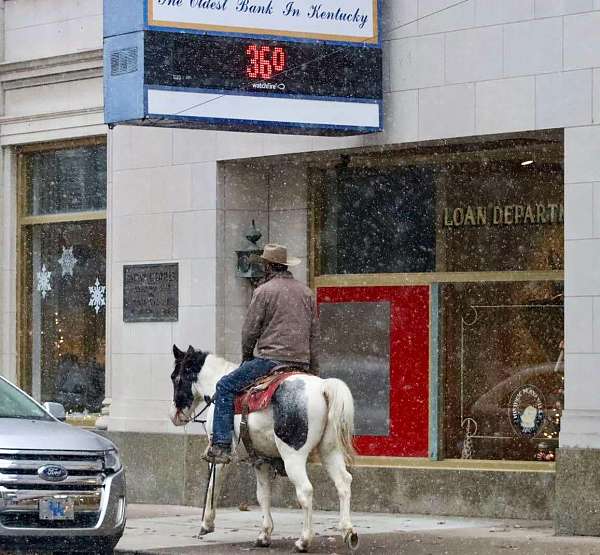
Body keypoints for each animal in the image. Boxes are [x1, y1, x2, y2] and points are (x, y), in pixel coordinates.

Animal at [168, 346, 356, 552]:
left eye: (175, 377)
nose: (174, 416)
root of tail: (323, 388)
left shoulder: (219, 458)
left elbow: (212, 486)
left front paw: (206, 524)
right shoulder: (261, 460)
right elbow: (263, 494)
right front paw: (264, 535)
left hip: (293, 456)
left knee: (305, 491)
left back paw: (303, 540)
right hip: (330, 451)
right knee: (343, 483)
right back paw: (348, 532)